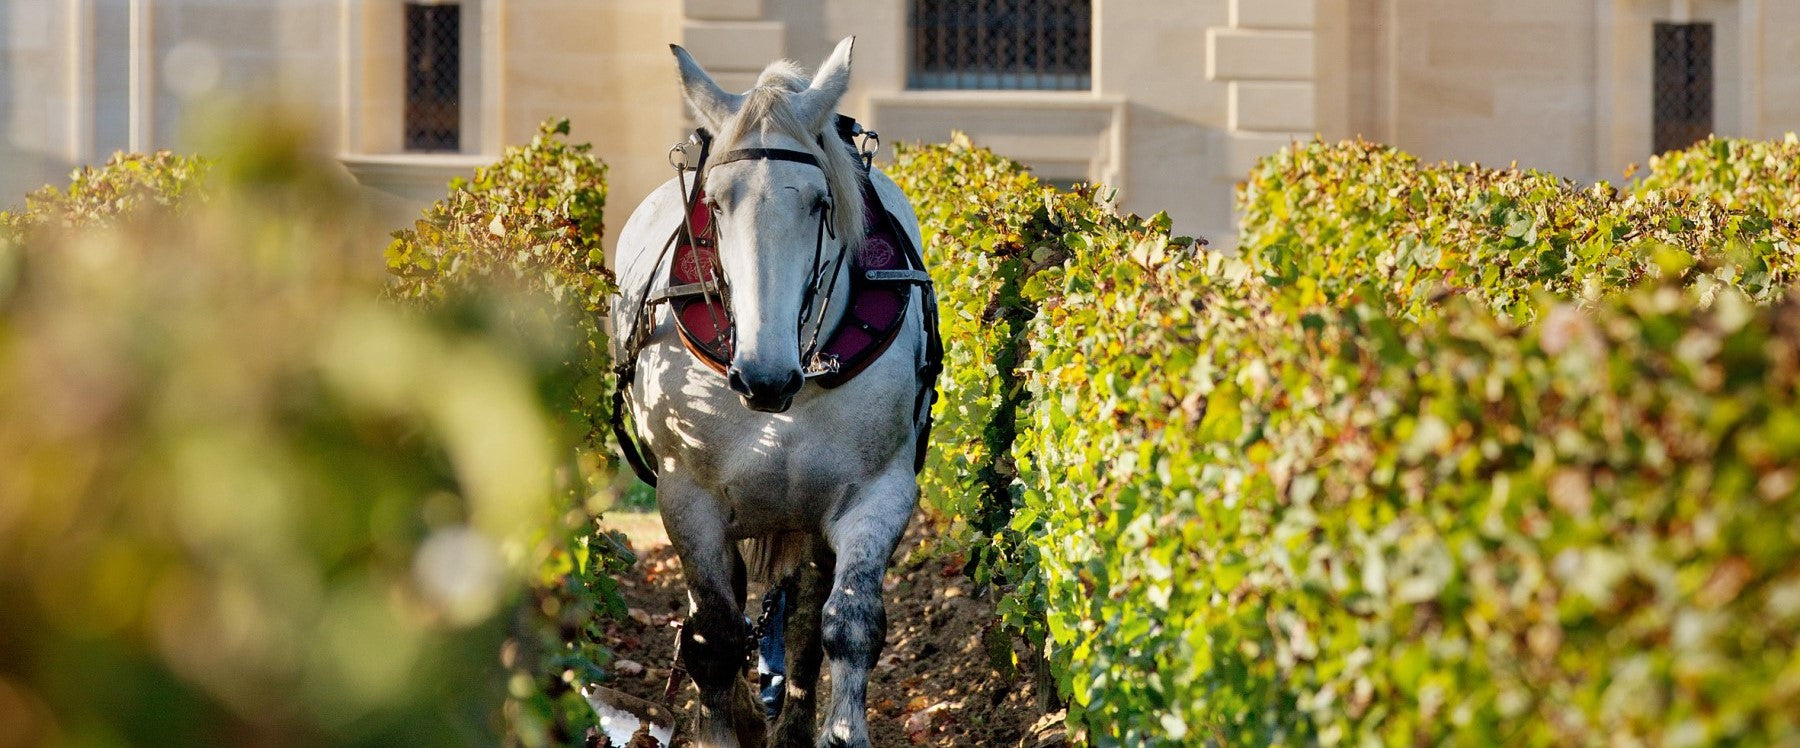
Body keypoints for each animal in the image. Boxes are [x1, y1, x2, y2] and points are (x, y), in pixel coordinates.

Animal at [608, 39, 936, 748]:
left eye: (819, 203)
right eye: (715, 203)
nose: (764, 377)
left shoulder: (880, 491)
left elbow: (847, 622)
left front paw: (835, 728)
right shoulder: (687, 497)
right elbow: (715, 635)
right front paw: (724, 724)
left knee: (809, 608)